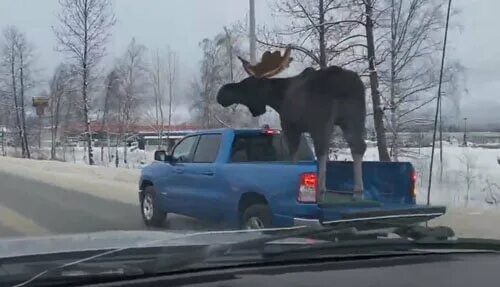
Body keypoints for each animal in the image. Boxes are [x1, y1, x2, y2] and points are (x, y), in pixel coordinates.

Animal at [217, 47, 366, 200]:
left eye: (247, 83)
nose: (221, 93)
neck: (278, 98)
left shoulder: (289, 125)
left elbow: (293, 155)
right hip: (355, 117)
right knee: (358, 146)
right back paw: (358, 192)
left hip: (322, 120)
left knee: (322, 150)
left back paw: (321, 191)